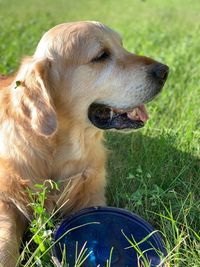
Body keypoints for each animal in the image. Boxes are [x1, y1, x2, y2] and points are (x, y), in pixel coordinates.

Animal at [0, 21, 169, 266]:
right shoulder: (7, 202)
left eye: (122, 45)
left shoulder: (93, 194)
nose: (164, 71)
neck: (59, 149)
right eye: (101, 56)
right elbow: (5, 244)